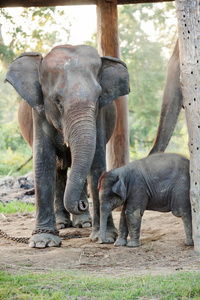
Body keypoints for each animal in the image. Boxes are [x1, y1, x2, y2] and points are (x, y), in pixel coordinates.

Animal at [5, 43, 130, 247]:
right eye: (57, 101)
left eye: (98, 98)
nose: (82, 205)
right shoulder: (39, 112)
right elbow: (43, 161)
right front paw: (43, 242)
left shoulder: (100, 115)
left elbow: (97, 163)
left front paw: (105, 238)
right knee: (58, 169)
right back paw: (62, 224)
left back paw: (83, 223)